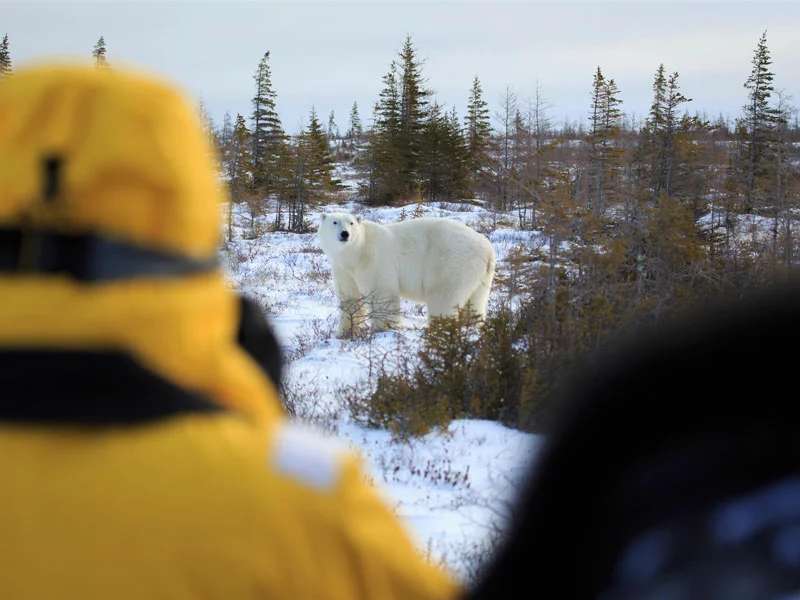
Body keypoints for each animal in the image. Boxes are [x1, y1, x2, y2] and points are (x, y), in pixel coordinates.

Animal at [318, 213, 494, 338]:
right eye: (334, 222)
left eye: (351, 223)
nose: (345, 234)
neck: (357, 252)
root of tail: (488, 248)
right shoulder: (342, 268)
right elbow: (349, 297)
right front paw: (344, 333)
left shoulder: (376, 259)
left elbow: (382, 293)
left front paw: (383, 329)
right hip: (481, 276)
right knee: (475, 302)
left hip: (452, 263)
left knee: (443, 297)